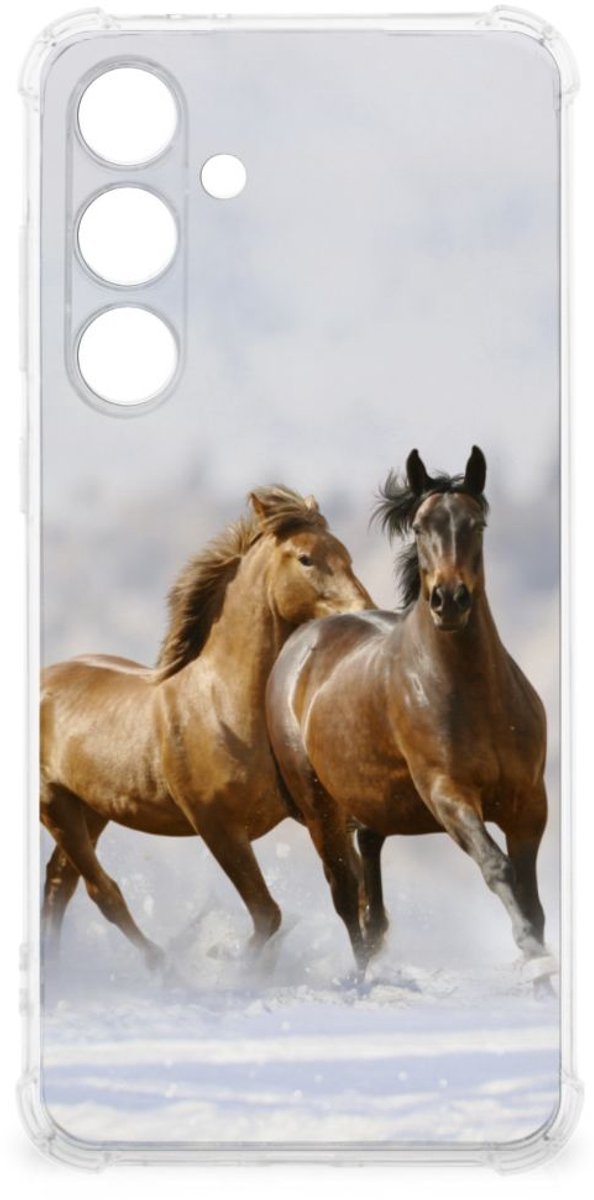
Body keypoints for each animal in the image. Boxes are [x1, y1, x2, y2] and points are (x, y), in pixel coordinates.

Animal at [41, 485, 373, 967]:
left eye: (346, 554)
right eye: (306, 558)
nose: (365, 612)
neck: (224, 707)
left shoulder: (318, 814)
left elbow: (351, 893)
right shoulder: (218, 827)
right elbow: (268, 914)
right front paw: (232, 964)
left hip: (91, 809)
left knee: (58, 883)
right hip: (55, 805)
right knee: (101, 891)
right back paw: (162, 966)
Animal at [266, 448, 550, 976]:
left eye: (477, 523)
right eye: (419, 527)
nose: (449, 600)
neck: (475, 696)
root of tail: (300, 643)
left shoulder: (529, 803)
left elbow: (531, 896)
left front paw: (540, 960)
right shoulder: (448, 795)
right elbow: (497, 867)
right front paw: (531, 952)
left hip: (370, 805)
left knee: (371, 896)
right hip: (320, 810)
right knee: (346, 897)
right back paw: (362, 978)